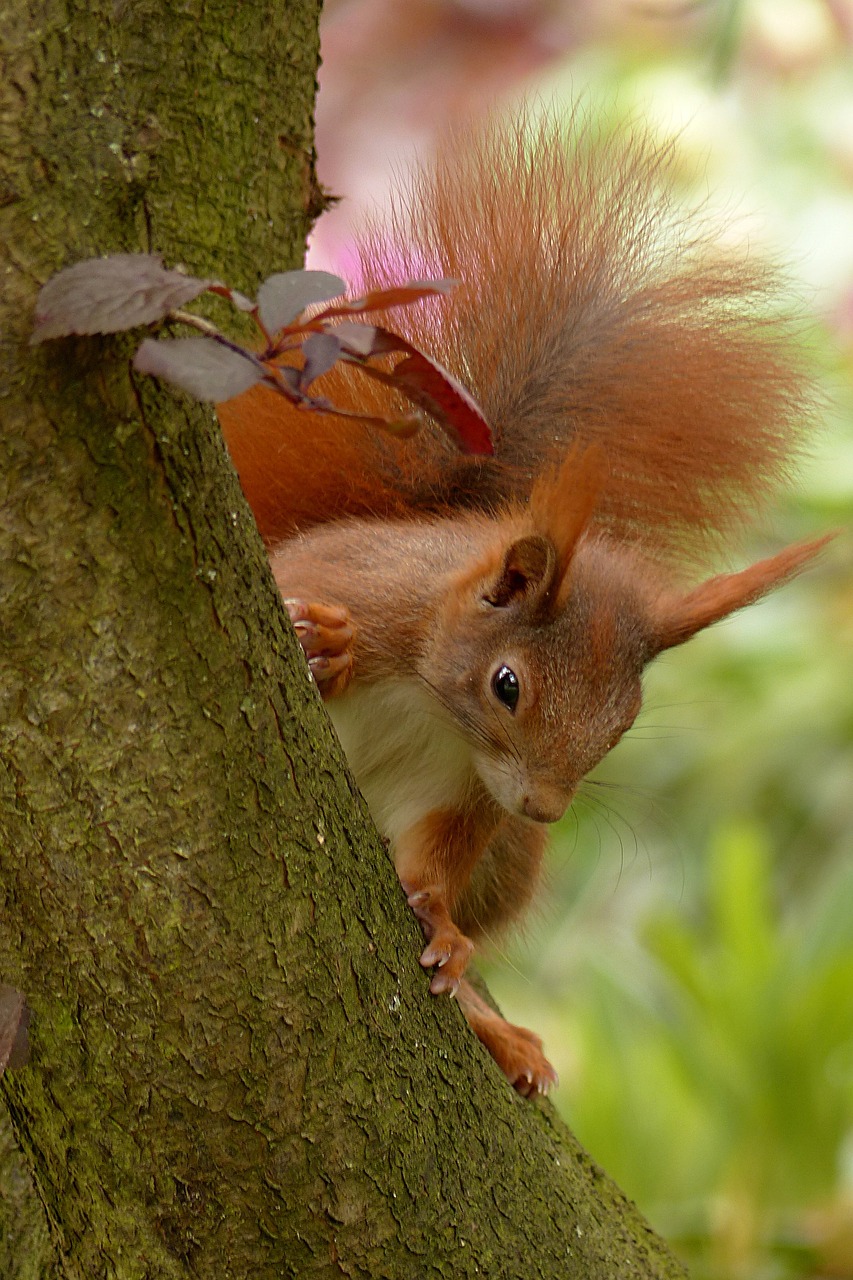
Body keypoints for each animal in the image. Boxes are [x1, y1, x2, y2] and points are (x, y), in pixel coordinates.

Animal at [216, 117, 824, 1090]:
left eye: (623, 721)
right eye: (507, 686)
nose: (542, 809)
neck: (429, 698)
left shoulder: (465, 792)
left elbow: (433, 866)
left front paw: (445, 933)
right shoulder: (355, 589)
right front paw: (329, 646)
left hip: (510, 865)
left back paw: (500, 1035)